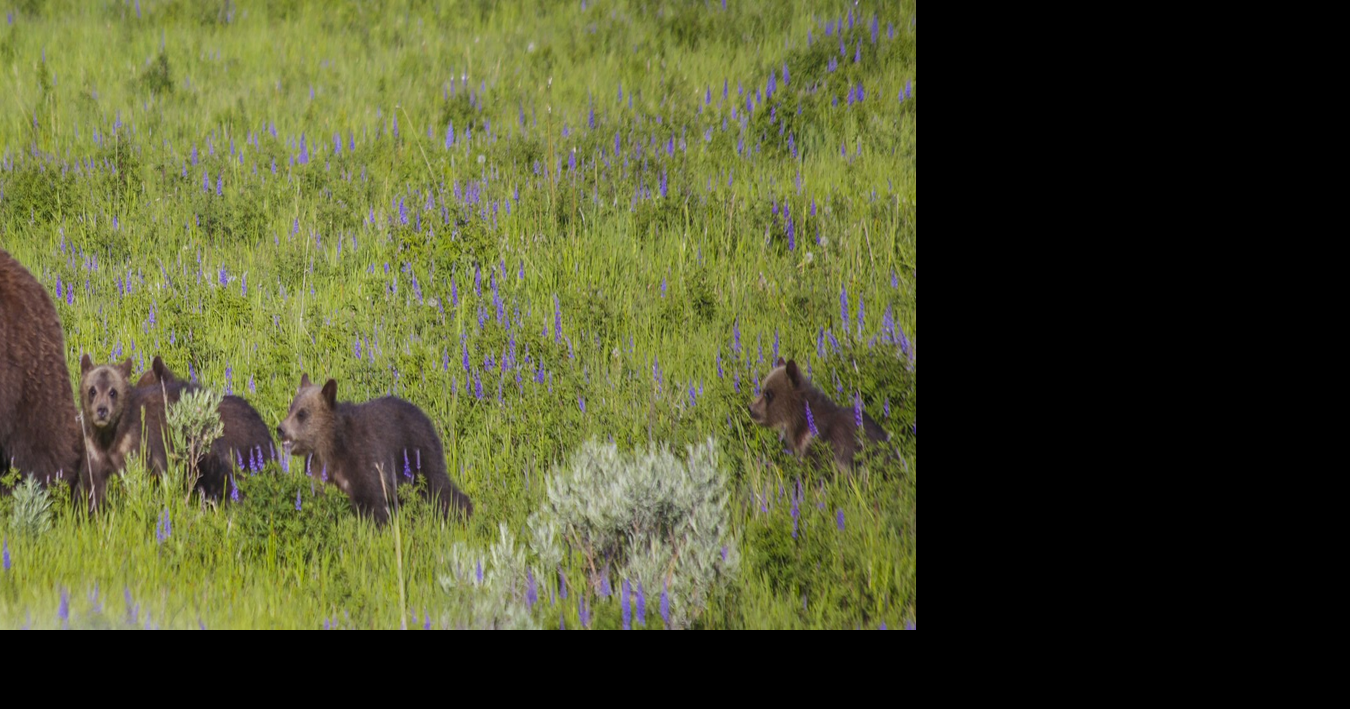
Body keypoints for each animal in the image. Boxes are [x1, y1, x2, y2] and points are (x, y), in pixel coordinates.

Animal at [277, 375, 473, 524]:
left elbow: (372, 501)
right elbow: (320, 498)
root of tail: (425, 417)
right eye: (291, 408)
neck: (330, 446)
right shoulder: (318, 469)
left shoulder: (362, 459)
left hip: (418, 455)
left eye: (302, 414)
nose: (280, 429)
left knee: (438, 486)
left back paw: (463, 511)